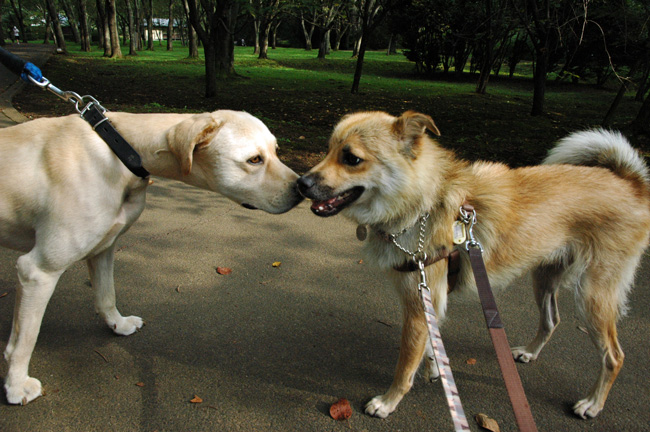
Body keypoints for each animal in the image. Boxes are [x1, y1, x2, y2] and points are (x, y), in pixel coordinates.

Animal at [0, 109, 302, 404]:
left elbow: (106, 295)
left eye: (276, 151)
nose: (302, 189)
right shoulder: (38, 271)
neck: (120, 150)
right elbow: (25, 339)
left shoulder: (103, 248)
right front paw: (16, 386)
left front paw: (118, 324)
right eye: (254, 159)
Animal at [296, 109, 644, 420]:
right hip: (545, 278)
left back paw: (593, 404)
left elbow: (405, 366)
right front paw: (435, 368)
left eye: (352, 158)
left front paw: (388, 402)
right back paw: (530, 353)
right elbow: (430, 346)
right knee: (551, 320)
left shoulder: (418, 305)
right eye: (328, 149)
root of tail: (630, 182)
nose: (301, 183)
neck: (423, 206)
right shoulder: (430, 303)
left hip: (592, 297)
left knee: (614, 356)